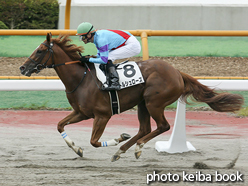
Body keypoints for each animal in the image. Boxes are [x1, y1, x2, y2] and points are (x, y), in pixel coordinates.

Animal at [19, 33, 244, 161]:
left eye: (40, 50)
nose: (22, 68)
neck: (81, 78)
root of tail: (177, 72)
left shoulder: (102, 115)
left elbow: (94, 141)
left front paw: (116, 138)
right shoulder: (82, 113)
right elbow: (59, 125)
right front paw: (77, 150)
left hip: (154, 102)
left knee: (162, 126)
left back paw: (135, 147)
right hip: (143, 103)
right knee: (145, 128)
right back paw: (122, 150)